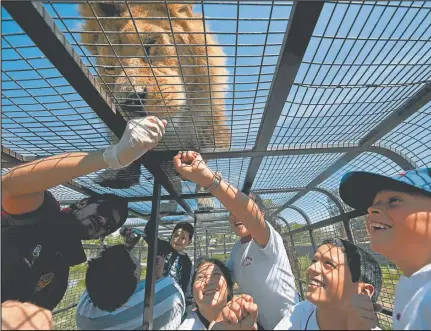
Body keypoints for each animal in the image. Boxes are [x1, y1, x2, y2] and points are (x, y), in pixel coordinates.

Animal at [79, 1, 231, 210]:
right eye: (110, 67)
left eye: (150, 43)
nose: (131, 102)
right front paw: (119, 174)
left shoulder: (212, 134)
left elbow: (203, 162)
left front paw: (205, 196)